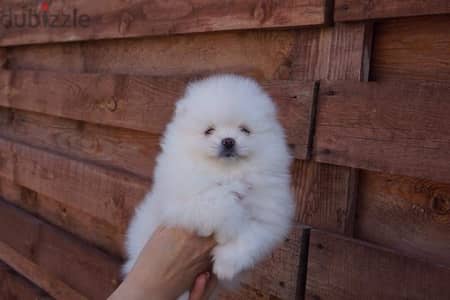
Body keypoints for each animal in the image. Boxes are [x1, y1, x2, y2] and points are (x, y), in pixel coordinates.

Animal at [121, 74, 294, 296]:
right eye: (209, 131)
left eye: (245, 130)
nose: (228, 141)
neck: (228, 173)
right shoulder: (185, 200)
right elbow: (219, 201)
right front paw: (228, 226)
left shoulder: (268, 217)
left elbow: (250, 239)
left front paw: (225, 266)